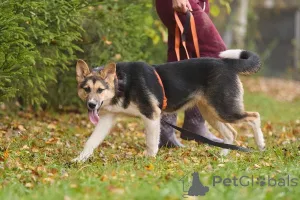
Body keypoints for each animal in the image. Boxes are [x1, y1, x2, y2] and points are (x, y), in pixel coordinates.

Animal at [72, 49, 264, 162]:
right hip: (211, 113)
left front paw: (149, 162)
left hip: (224, 110)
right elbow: (91, 141)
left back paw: (261, 144)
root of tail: (226, 63)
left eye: (100, 90)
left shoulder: (151, 116)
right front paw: (79, 160)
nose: (91, 105)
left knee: (254, 116)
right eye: (86, 89)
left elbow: (151, 143)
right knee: (231, 133)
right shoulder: (106, 119)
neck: (121, 82)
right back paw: (222, 157)